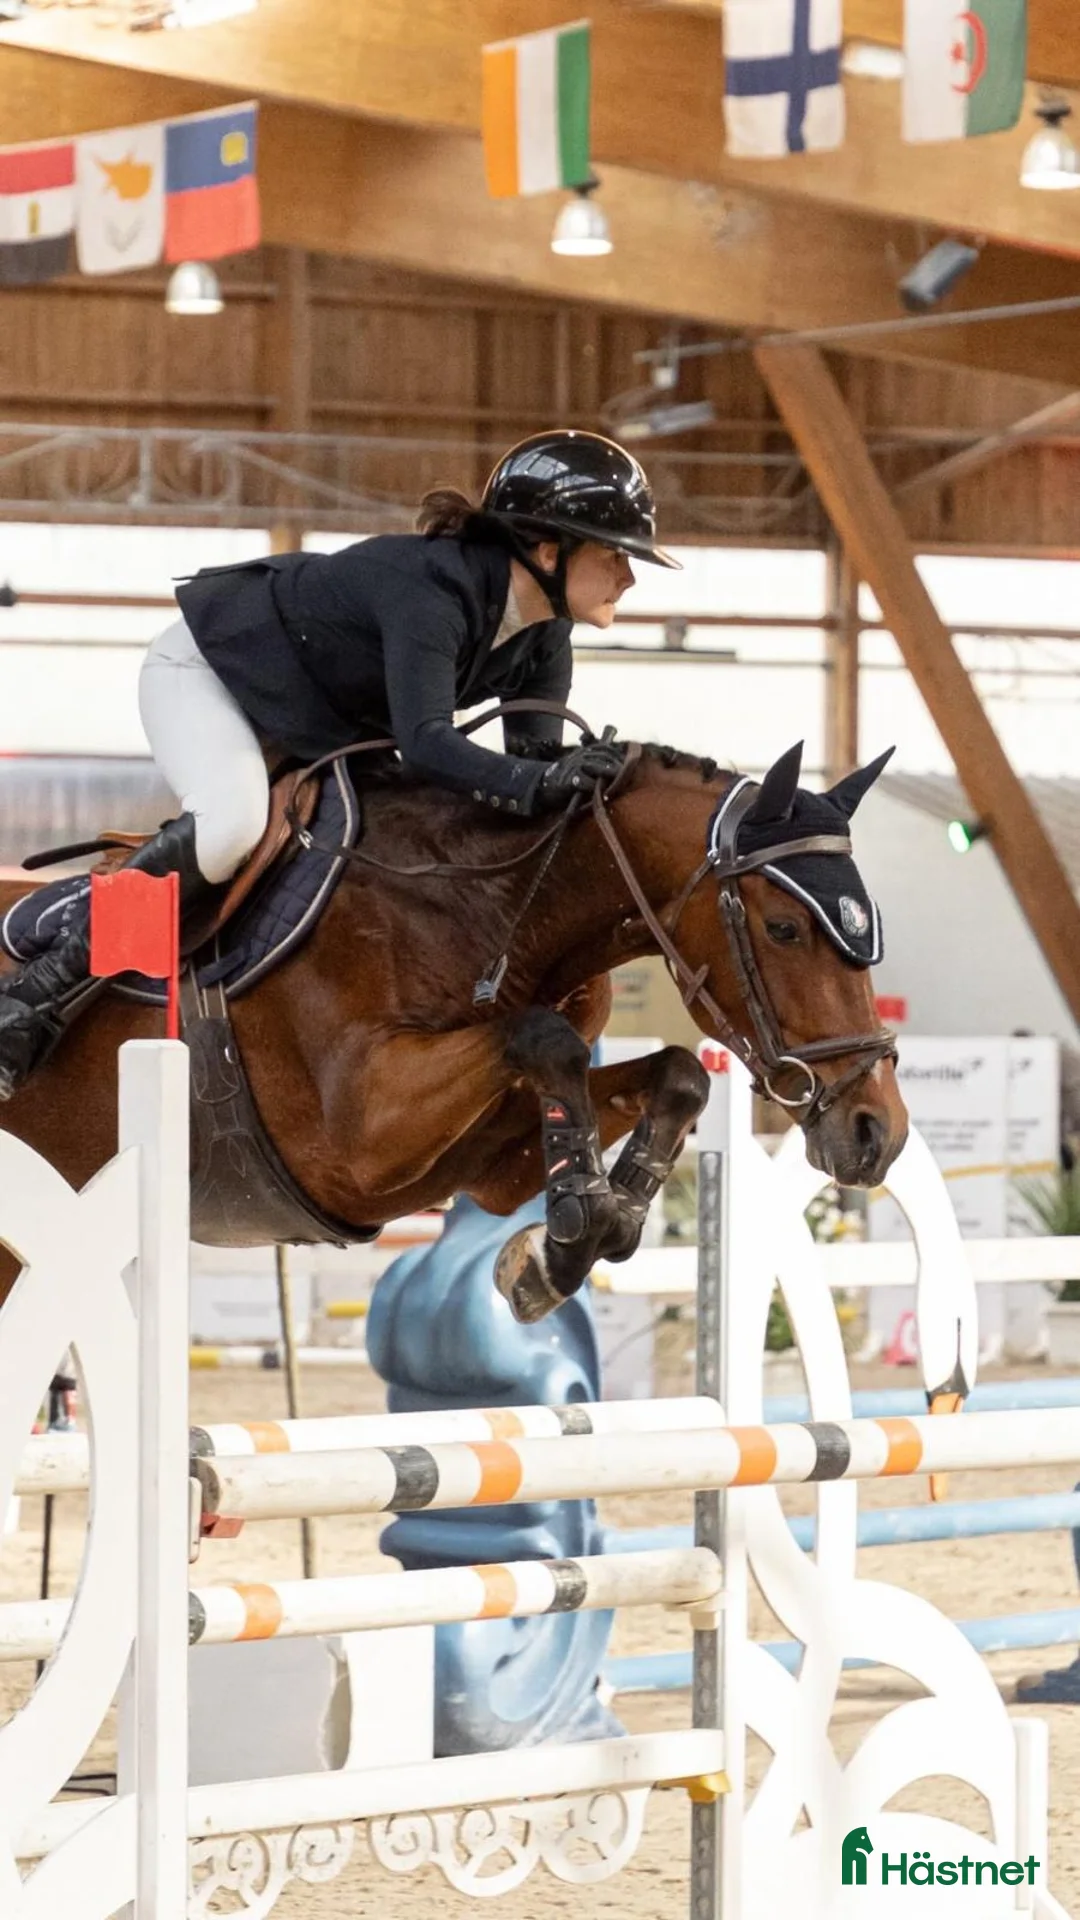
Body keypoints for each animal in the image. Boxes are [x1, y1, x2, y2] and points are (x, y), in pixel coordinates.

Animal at [0, 732, 907, 1321]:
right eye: (785, 928)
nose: (879, 1132)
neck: (496, 910)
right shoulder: (359, 1143)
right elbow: (543, 1038)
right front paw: (573, 1231)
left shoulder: (482, 1159)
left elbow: (674, 1072)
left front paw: (571, 1240)